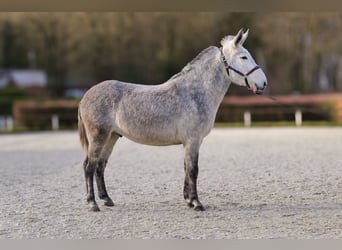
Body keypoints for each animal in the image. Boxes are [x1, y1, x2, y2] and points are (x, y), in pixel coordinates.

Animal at [78, 28, 268, 211]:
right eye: (243, 57)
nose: (263, 83)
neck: (195, 92)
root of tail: (85, 96)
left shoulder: (190, 142)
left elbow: (186, 169)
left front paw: (189, 200)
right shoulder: (193, 140)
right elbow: (193, 171)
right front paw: (197, 203)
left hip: (111, 137)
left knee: (100, 166)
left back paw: (106, 199)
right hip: (99, 137)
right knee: (89, 166)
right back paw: (92, 203)